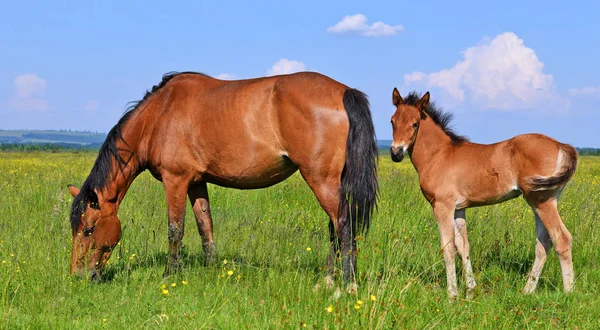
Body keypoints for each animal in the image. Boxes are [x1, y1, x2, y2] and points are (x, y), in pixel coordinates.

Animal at [65, 71, 378, 288]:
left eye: (88, 230)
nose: (78, 275)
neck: (158, 115)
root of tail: (344, 91)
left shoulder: (175, 180)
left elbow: (175, 229)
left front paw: (169, 273)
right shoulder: (196, 182)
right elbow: (205, 225)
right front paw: (211, 267)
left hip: (321, 180)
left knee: (343, 225)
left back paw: (346, 284)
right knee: (335, 228)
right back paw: (327, 280)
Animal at [390, 88, 576, 300]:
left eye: (415, 123)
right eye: (392, 121)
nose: (395, 153)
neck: (439, 155)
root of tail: (561, 145)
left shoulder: (442, 206)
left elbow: (448, 248)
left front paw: (452, 295)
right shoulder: (458, 209)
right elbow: (463, 246)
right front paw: (470, 290)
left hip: (541, 200)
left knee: (561, 239)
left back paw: (569, 293)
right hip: (542, 201)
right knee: (544, 243)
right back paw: (527, 291)